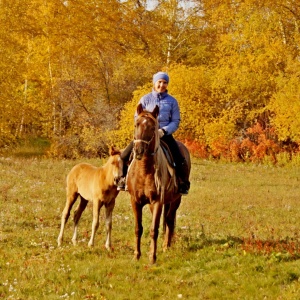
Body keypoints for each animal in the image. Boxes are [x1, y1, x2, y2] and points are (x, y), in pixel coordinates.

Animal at [126, 104, 191, 264]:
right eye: (136, 124)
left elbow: (153, 230)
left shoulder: (157, 202)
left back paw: (166, 246)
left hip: (176, 199)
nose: (139, 150)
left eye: (152, 127)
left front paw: (152, 257)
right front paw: (137, 255)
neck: (144, 170)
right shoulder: (135, 201)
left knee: (169, 220)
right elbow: (138, 228)